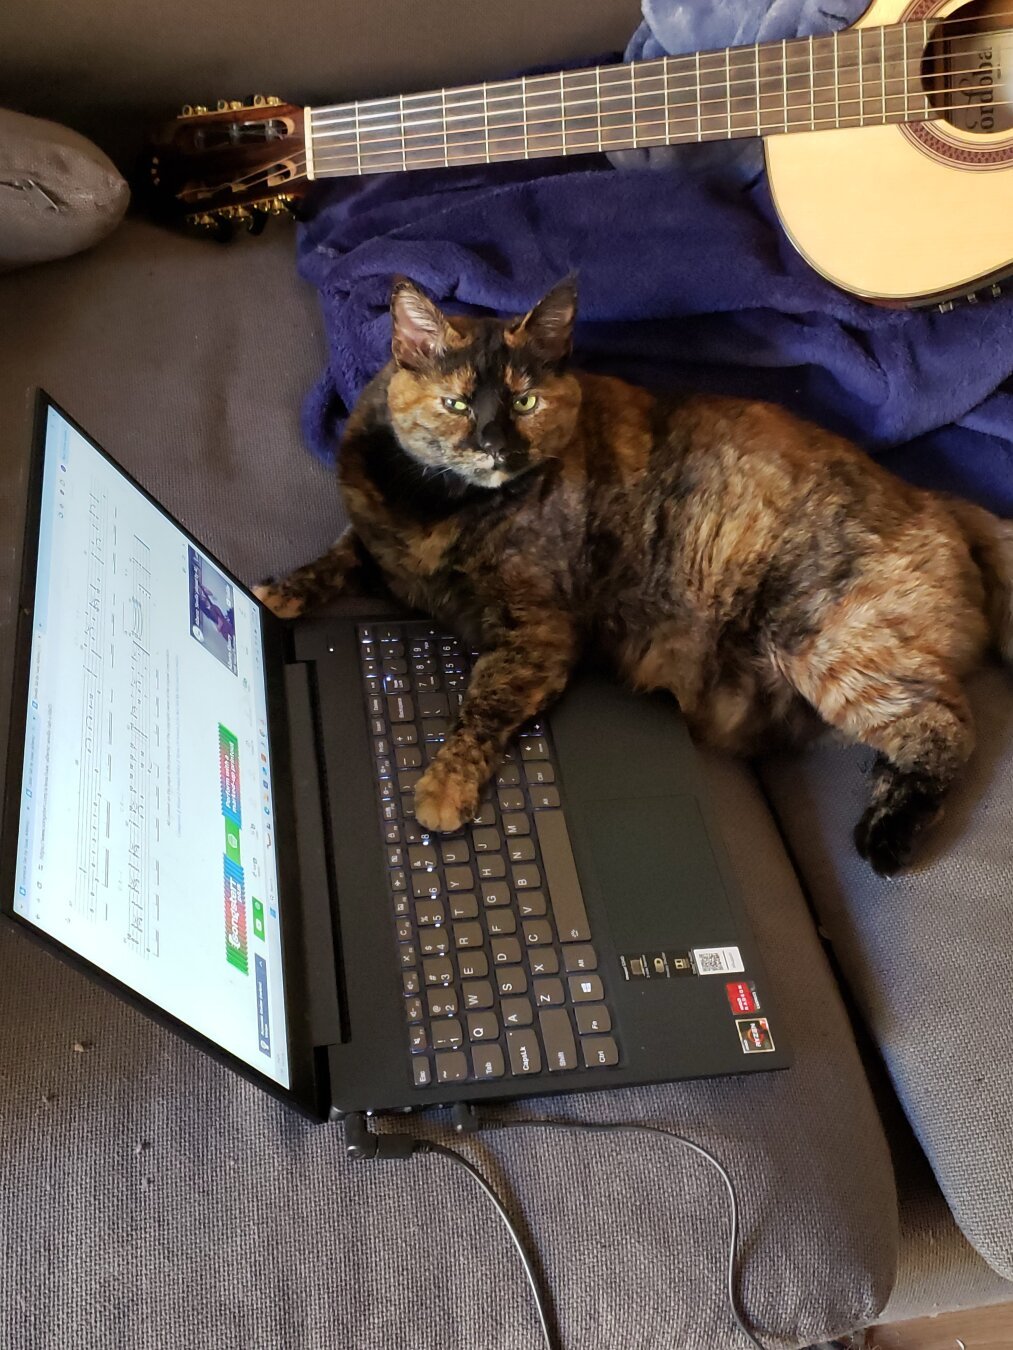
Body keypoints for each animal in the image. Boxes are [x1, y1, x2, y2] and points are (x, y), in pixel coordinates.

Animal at [259, 282, 1013, 874]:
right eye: (456, 405)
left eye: (525, 404)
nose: (495, 447)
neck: (436, 506)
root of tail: (940, 499)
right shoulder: (379, 540)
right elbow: (339, 555)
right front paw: (279, 592)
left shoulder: (537, 636)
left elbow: (483, 704)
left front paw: (442, 791)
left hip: (829, 642)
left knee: (945, 725)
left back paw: (886, 841)